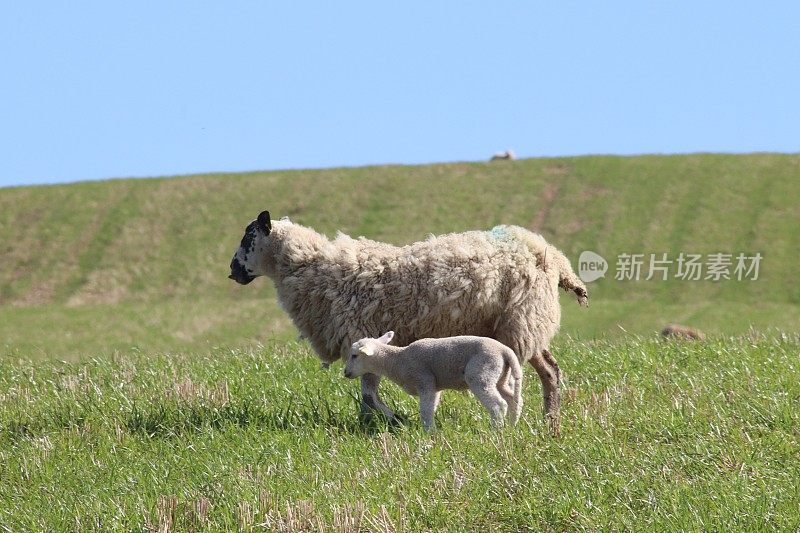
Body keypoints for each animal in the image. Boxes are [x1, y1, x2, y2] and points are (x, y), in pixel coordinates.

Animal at [346, 330, 524, 430]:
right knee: (514, 400)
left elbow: (425, 410)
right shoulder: (434, 388)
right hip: (501, 376)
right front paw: (430, 430)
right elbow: (431, 408)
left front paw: (428, 432)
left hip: (481, 374)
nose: (345, 373)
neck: (397, 360)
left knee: (498, 404)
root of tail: (505, 351)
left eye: (354, 355)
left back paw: (496, 431)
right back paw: (511, 426)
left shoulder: (425, 381)